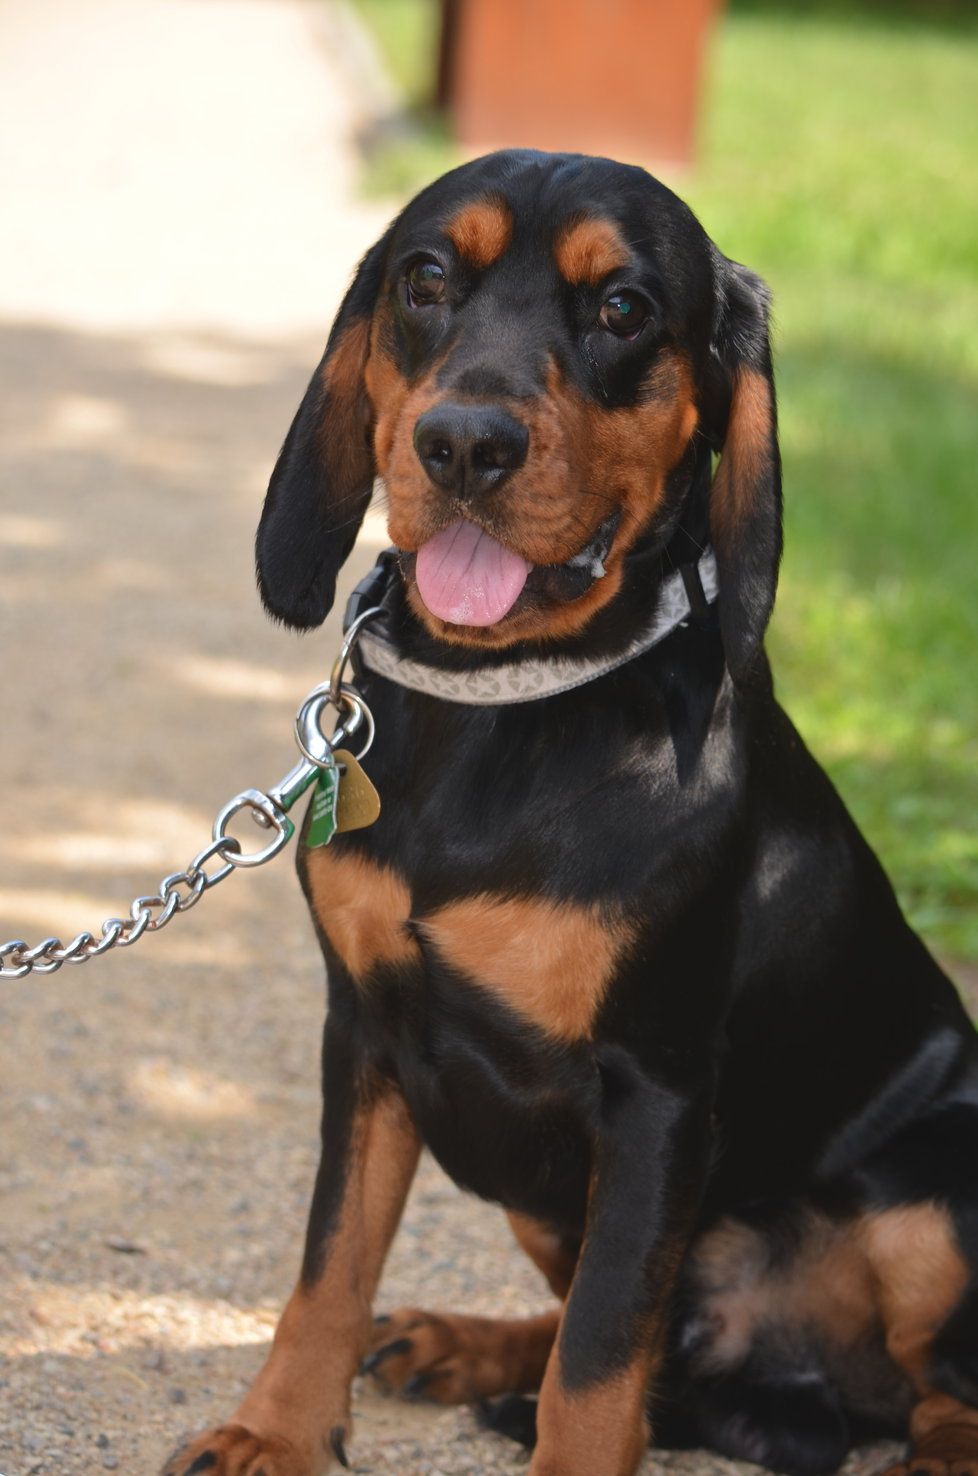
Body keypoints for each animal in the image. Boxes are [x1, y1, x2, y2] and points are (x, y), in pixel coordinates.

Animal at [162, 152, 978, 1476]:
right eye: (425, 279)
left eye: (624, 307)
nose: (462, 444)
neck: (509, 705)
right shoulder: (365, 1032)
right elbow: (330, 1264)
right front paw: (275, 1432)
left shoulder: (656, 1098)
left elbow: (600, 1362)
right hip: (539, 1194)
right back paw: (460, 1344)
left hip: (935, 1191)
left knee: (934, 1389)